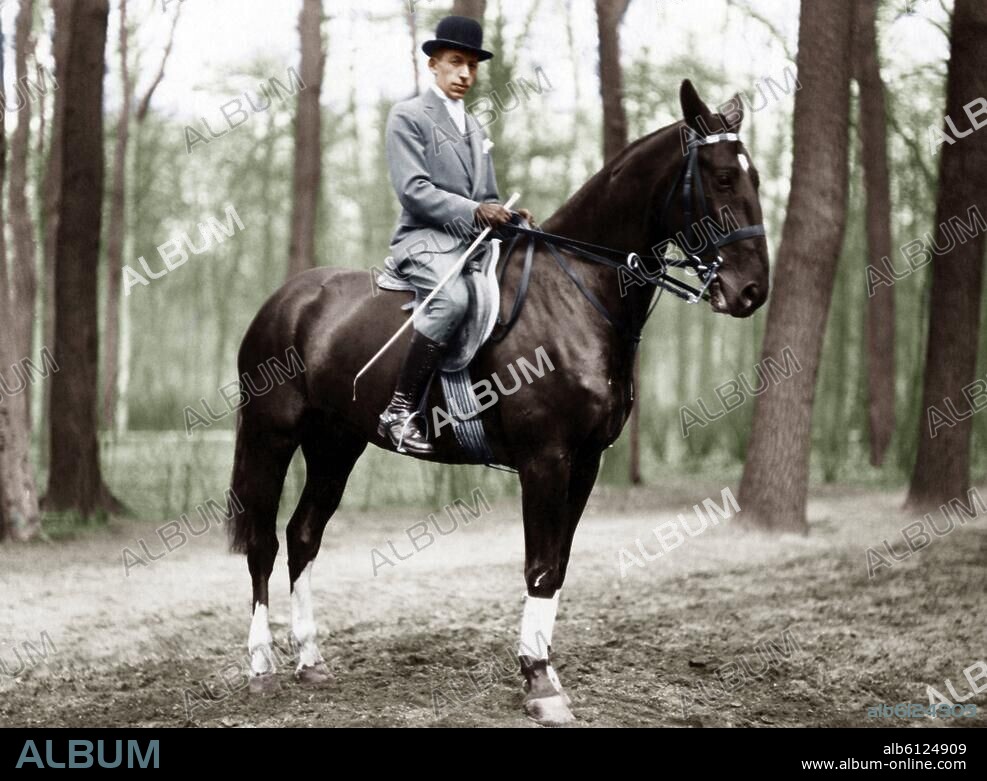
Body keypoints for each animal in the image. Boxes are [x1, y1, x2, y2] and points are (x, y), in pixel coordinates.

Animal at [226, 79, 770, 726]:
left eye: (754, 176)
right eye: (721, 178)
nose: (752, 291)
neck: (577, 292)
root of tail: (286, 299)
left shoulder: (586, 463)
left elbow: (557, 567)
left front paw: (544, 670)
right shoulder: (545, 460)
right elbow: (539, 564)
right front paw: (539, 682)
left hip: (337, 445)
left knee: (303, 535)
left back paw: (310, 660)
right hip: (272, 436)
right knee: (262, 543)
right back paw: (260, 667)